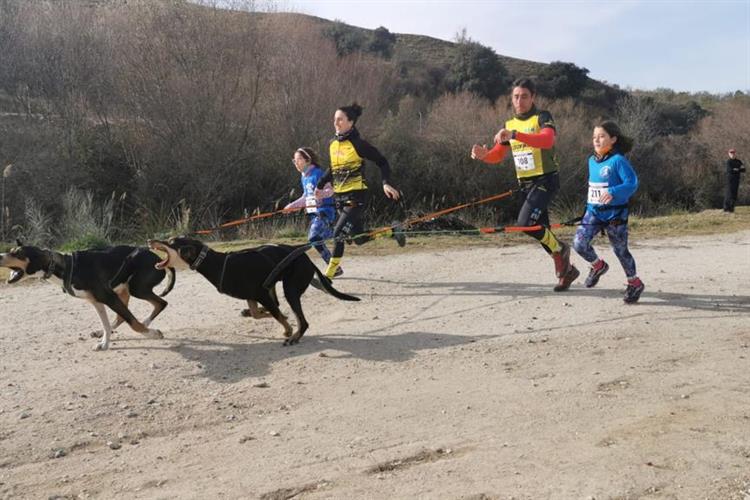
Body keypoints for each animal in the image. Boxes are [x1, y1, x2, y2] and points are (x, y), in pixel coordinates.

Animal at [0, 240, 175, 350]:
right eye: (11, 251)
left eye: (18, 253)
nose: (0, 256)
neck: (66, 267)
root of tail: (159, 258)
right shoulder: (97, 301)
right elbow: (107, 323)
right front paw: (104, 343)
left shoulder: (108, 297)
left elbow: (133, 323)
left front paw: (153, 334)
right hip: (124, 291)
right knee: (121, 317)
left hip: (136, 288)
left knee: (161, 303)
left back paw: (146, 324)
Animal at [148, 236, 360, 346]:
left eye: (170, 241)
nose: (150, 240)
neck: (216, 264)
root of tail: (306, 259)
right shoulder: (253, 295)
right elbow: (260, 314)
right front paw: (254, 313)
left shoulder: (260, 294)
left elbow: (276, 314)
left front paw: (288, 329)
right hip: (275, 284)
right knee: (279, 306)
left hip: (290, 289)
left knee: (302, 321)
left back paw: (295, 336)